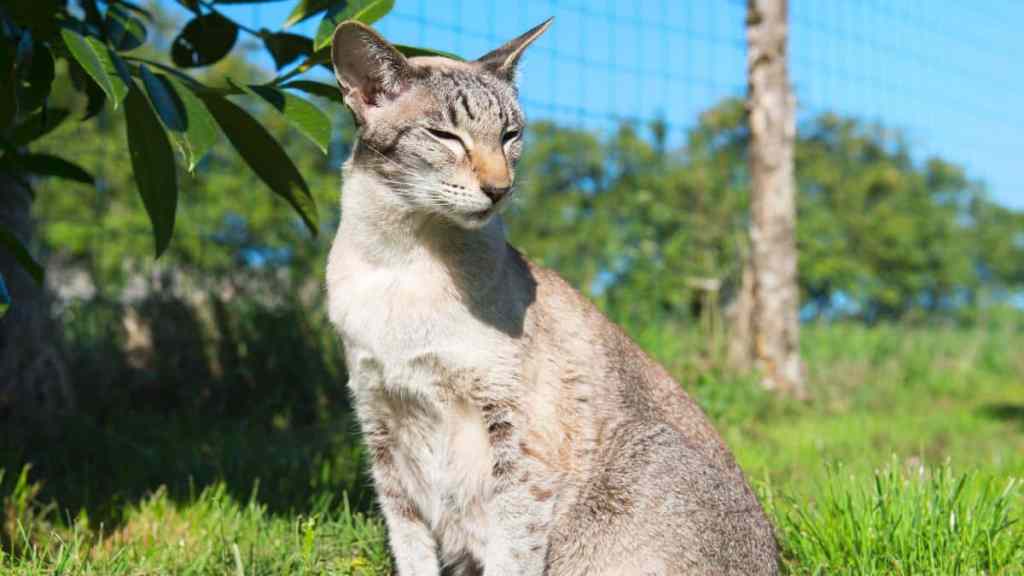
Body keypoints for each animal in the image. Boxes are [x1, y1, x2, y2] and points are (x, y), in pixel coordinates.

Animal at [325, 18, 779, 576]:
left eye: (510, 135)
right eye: (445, 136)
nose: (500, 188)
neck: (402, 263)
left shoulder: (519, 445)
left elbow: (509, 550)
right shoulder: (383, 431)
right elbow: (411, 552)